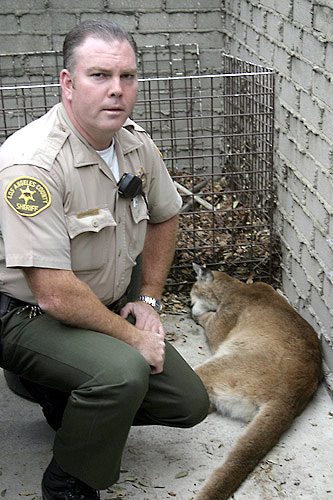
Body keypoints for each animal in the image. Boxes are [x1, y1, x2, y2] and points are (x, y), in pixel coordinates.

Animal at [189, 264, 322, 500]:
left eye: (194, 290)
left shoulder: (219, 327)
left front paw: (198, 315)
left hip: (218, 366)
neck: (237, 287)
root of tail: (289, 397)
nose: (188, 305)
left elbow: (208, 319)